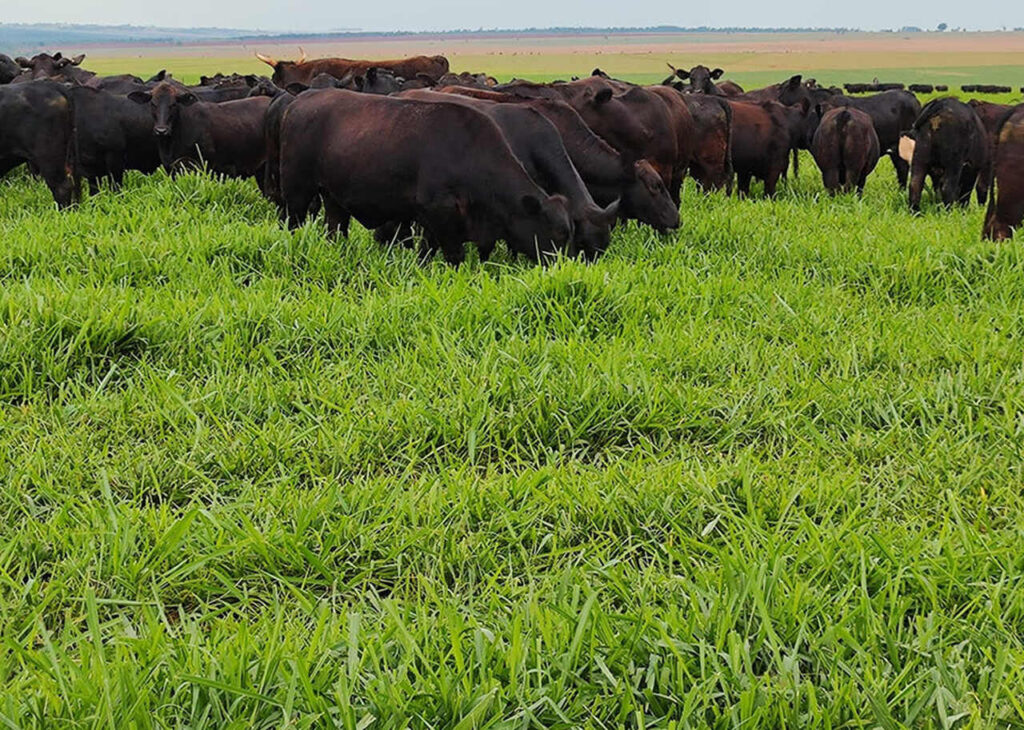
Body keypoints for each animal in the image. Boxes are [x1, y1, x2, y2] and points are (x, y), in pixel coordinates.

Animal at [276, 88, 573, 264]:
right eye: (558, 233)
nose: (560, 267)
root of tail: (301, 99)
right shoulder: (439, 211)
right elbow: (453, 254)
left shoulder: (431, 218)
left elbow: (426, 250)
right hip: (297, 191)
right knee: (292, 222)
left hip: (334, 198)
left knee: (335, 228)